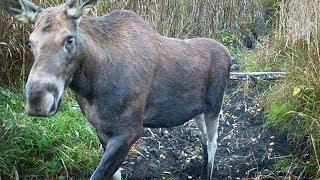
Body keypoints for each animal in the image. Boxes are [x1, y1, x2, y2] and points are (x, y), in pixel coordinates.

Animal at [0, 0, 231, 179]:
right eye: (30, 42)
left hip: (215, 105)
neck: (91, 89)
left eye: (69, 39)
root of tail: (229, 55)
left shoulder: (130, 130)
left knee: (213, 141)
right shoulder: (102, 129)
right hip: (198, 110)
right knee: (204, 138)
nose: (37, 100)